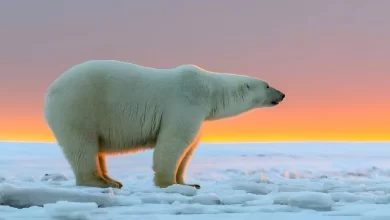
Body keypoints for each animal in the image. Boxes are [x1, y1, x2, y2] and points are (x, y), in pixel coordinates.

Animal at [43, 59, 286, 189]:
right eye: (267, 85)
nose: (282, 94)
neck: (208, 90)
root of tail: (51, 90)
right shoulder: (185, 103)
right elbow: (174, 141)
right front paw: (168, 183)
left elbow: (189, 148)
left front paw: (188, 183)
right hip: (79, 106)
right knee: (82, 145)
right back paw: (102, 182)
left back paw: (111, 179)